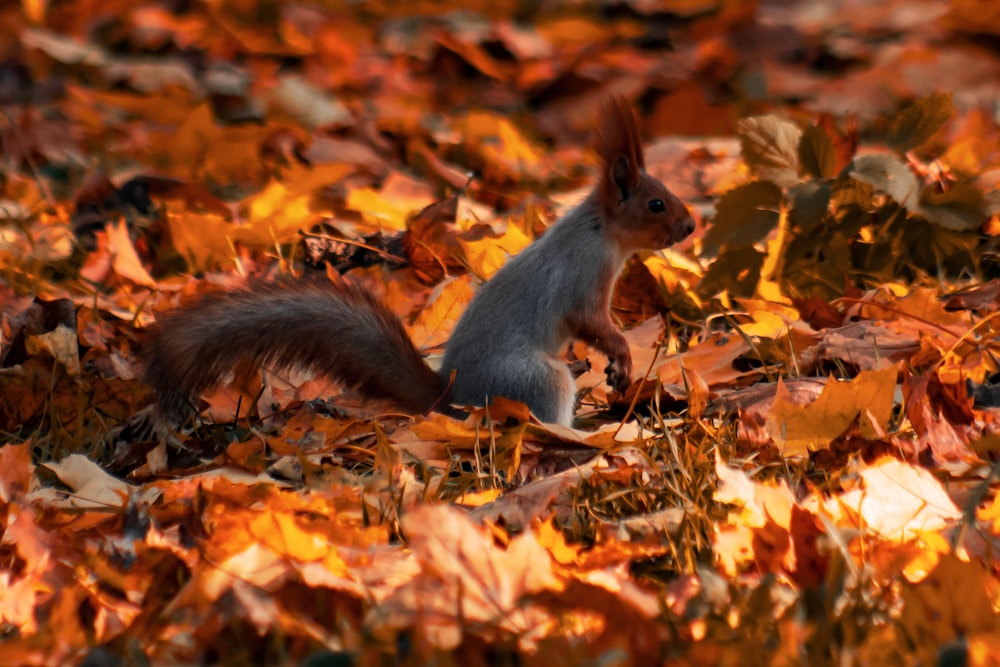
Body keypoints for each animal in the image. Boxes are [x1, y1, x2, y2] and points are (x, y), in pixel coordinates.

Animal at [143, 95, 696, 428]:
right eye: (656, 204)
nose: (690, 227)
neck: (601, 231)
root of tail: (449, 401)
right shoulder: (583, 277)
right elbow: (592, 322)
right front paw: (621, 356)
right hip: (535, 379)